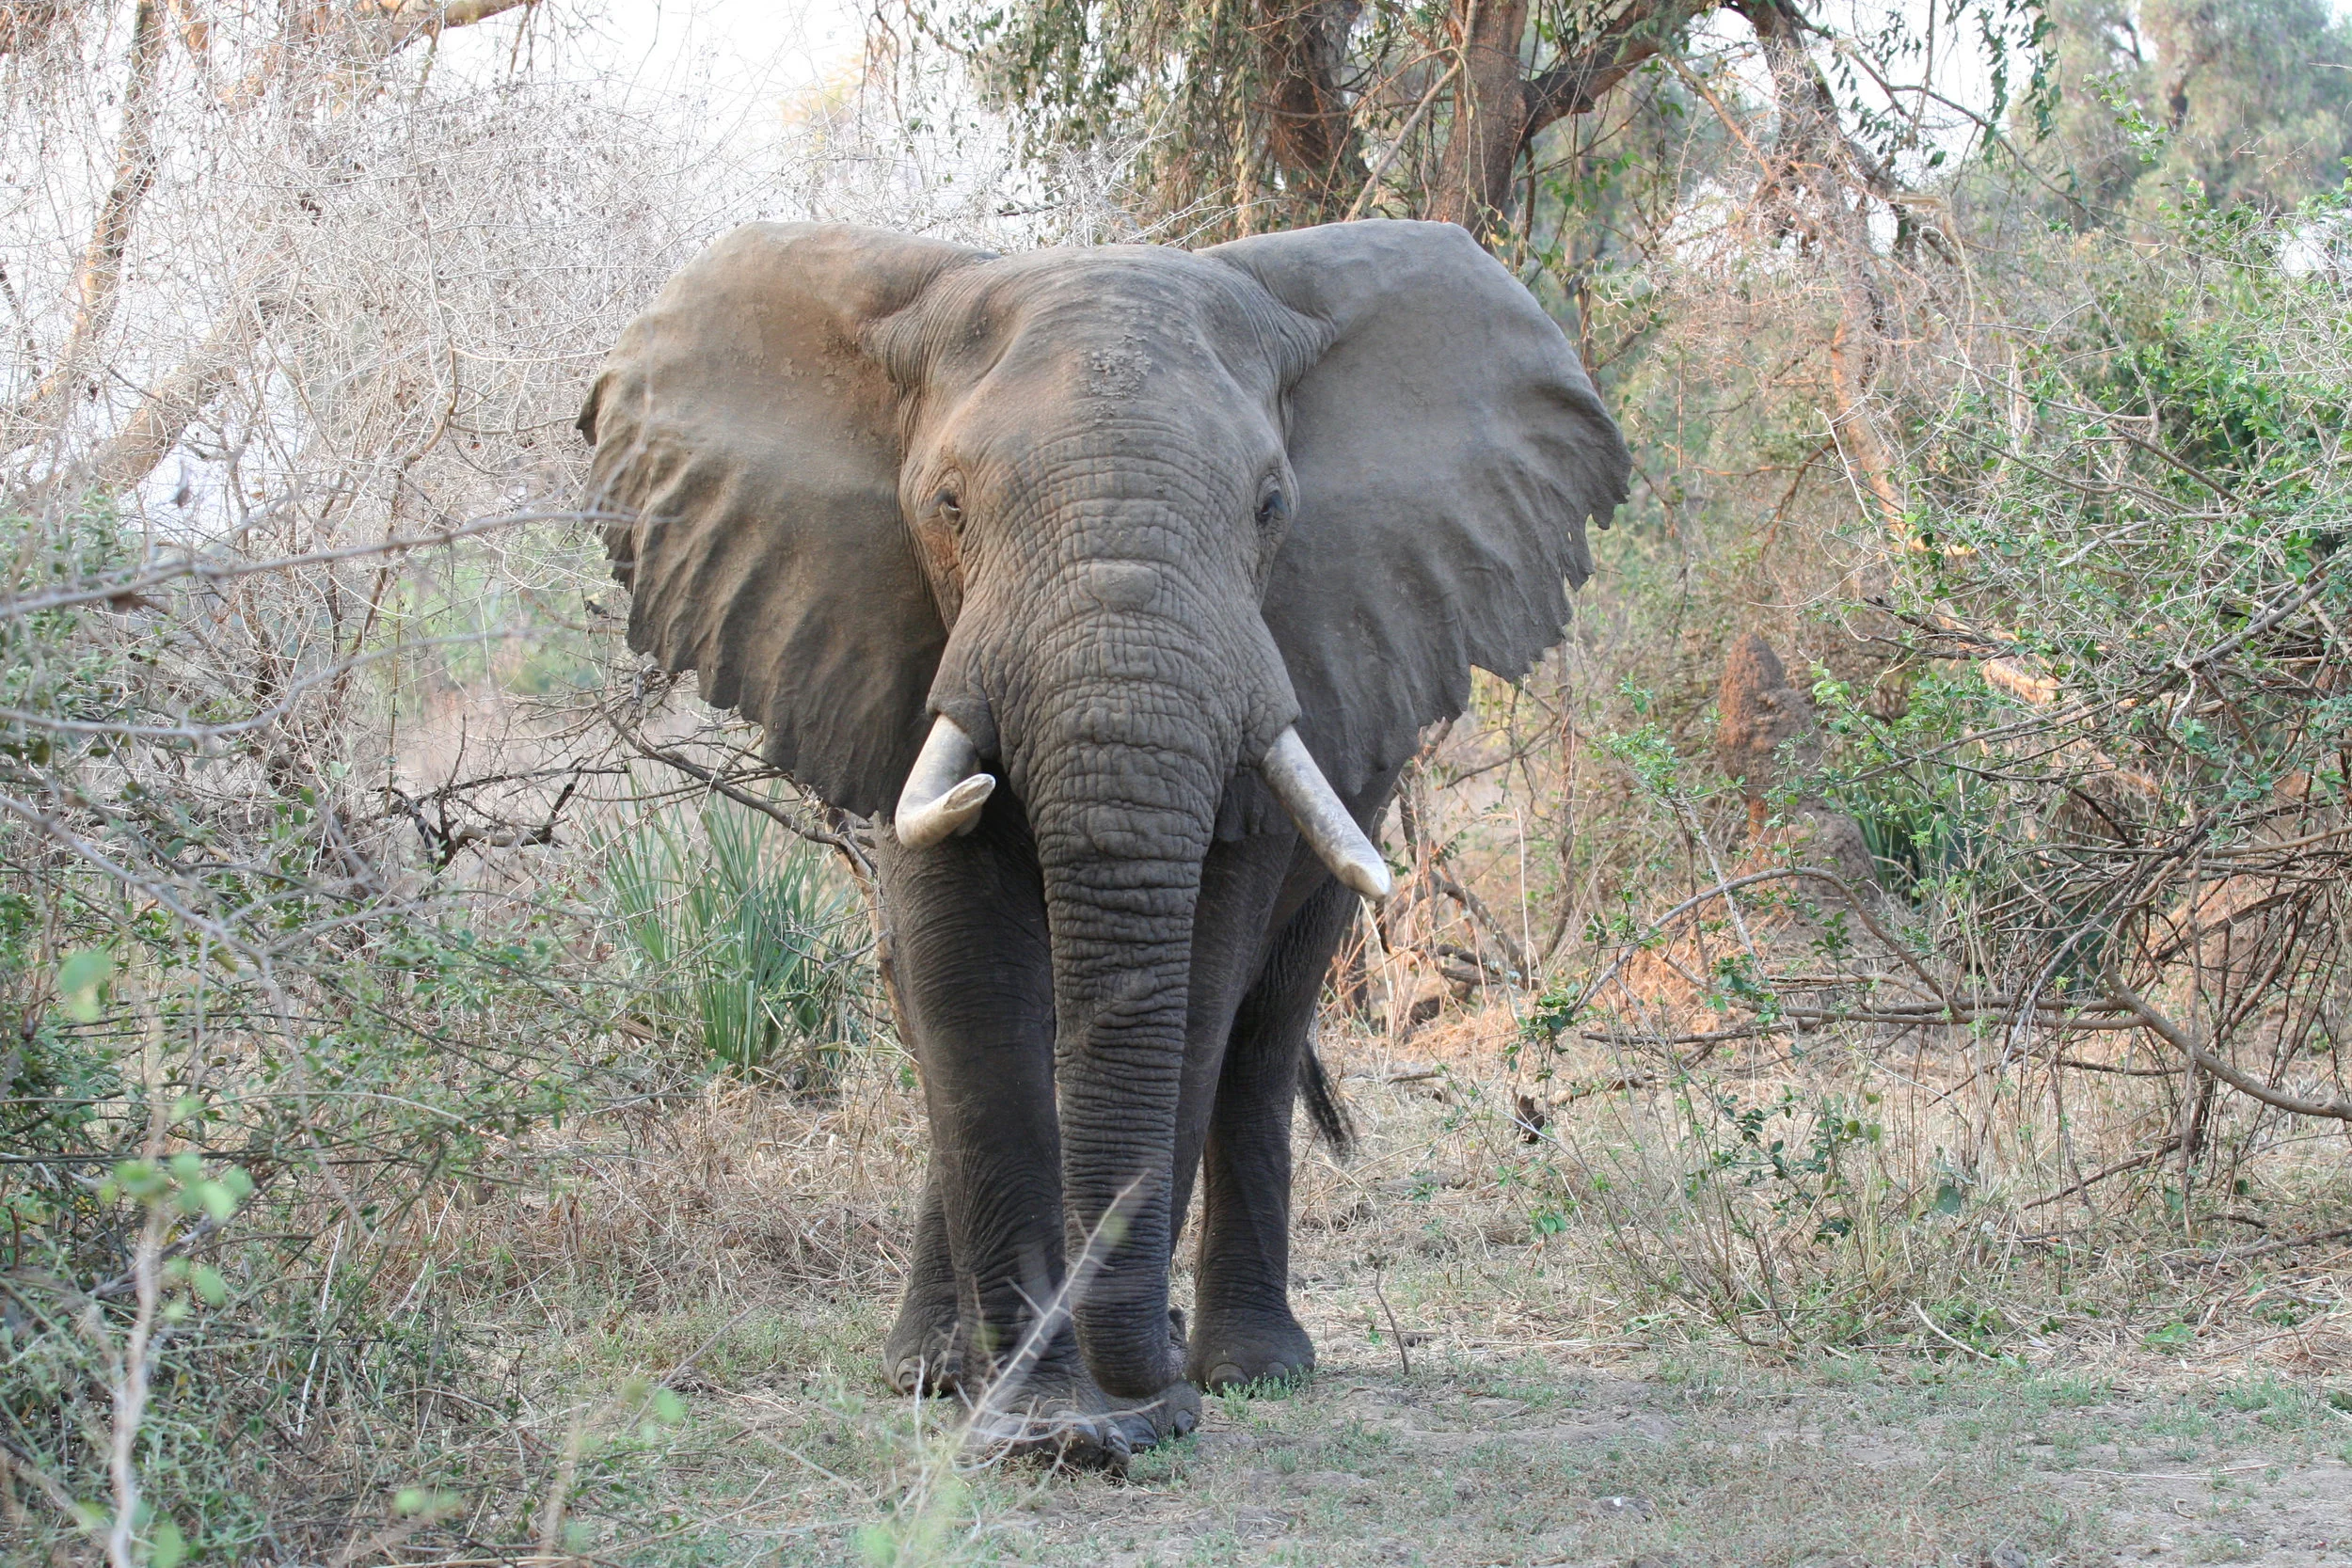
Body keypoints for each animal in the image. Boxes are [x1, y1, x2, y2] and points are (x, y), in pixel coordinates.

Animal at [579, 217, 1629, 1463]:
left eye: (1271, 506)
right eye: (946, 503)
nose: (1149, 1402)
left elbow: (1198, 987)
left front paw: (1109, 1404)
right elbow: (968, 982)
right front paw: (1034, 1415)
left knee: (1260, 1032)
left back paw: (1246, 1367)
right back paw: (935, 1366)